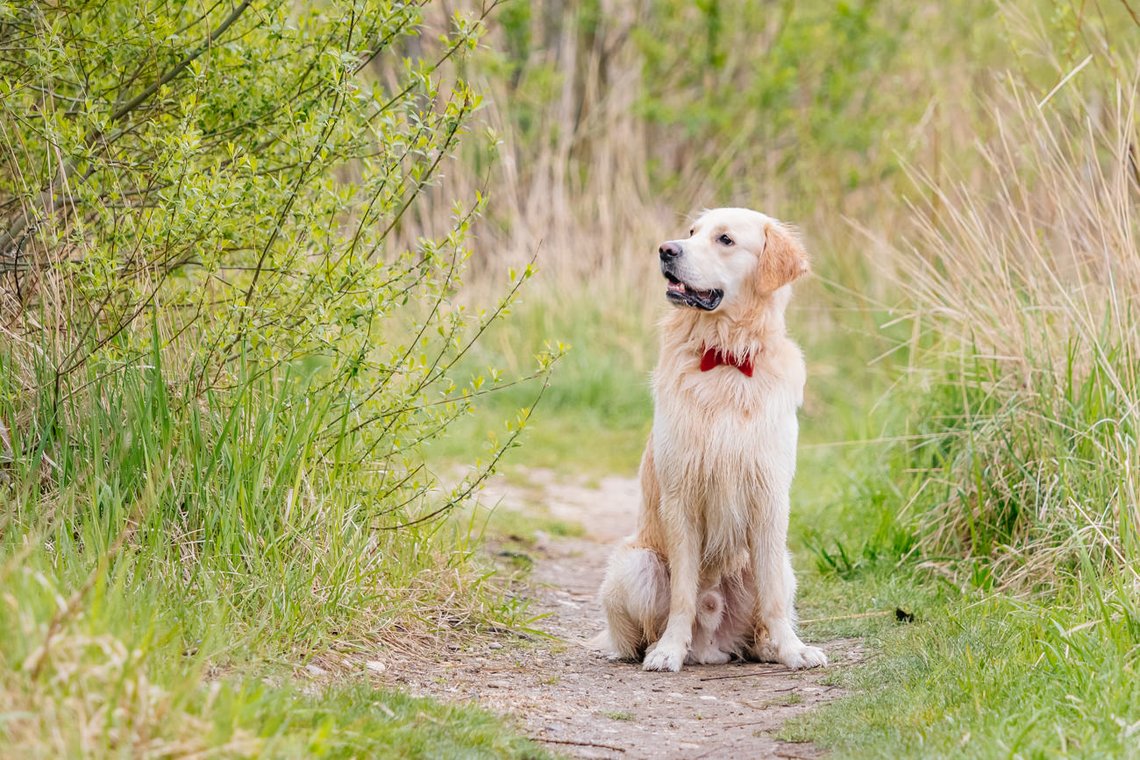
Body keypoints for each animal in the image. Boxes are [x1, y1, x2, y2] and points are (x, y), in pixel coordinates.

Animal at [592, 208, 825, 669]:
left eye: (725, 240)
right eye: (691, 233)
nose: (666, 250)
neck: (726, 357)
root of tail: (711, 647)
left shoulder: (771, 495)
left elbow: (773, 598)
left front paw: (793, 650)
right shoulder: (681, 495)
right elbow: (684, 593)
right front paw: (668, 651)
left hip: (780, 563)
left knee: (766, 607)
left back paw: (769, 646)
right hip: (637, 564)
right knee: (637, 634)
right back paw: (656, 648)